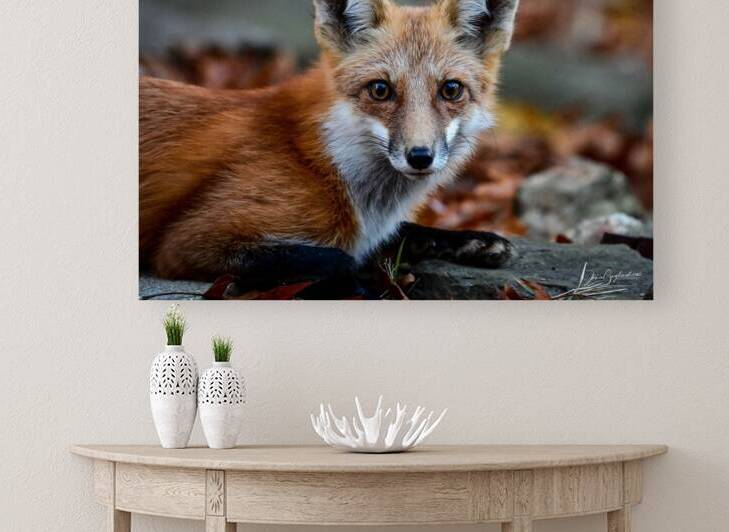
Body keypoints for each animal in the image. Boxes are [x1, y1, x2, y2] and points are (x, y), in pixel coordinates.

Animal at [140, 0, 520, 289]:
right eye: (380, 89)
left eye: (451, 89)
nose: (420, 156)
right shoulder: (190, 243)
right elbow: (340, 261)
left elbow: (406, 232)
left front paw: (474, 240)